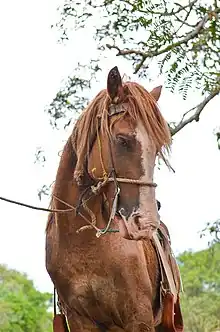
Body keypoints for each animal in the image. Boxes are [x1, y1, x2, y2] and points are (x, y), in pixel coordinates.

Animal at [45, 67, 183, 332]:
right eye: (122, 140)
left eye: (157, 148)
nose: (145, 223)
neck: (86, 245)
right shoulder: (79, 318)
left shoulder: (138, 317)